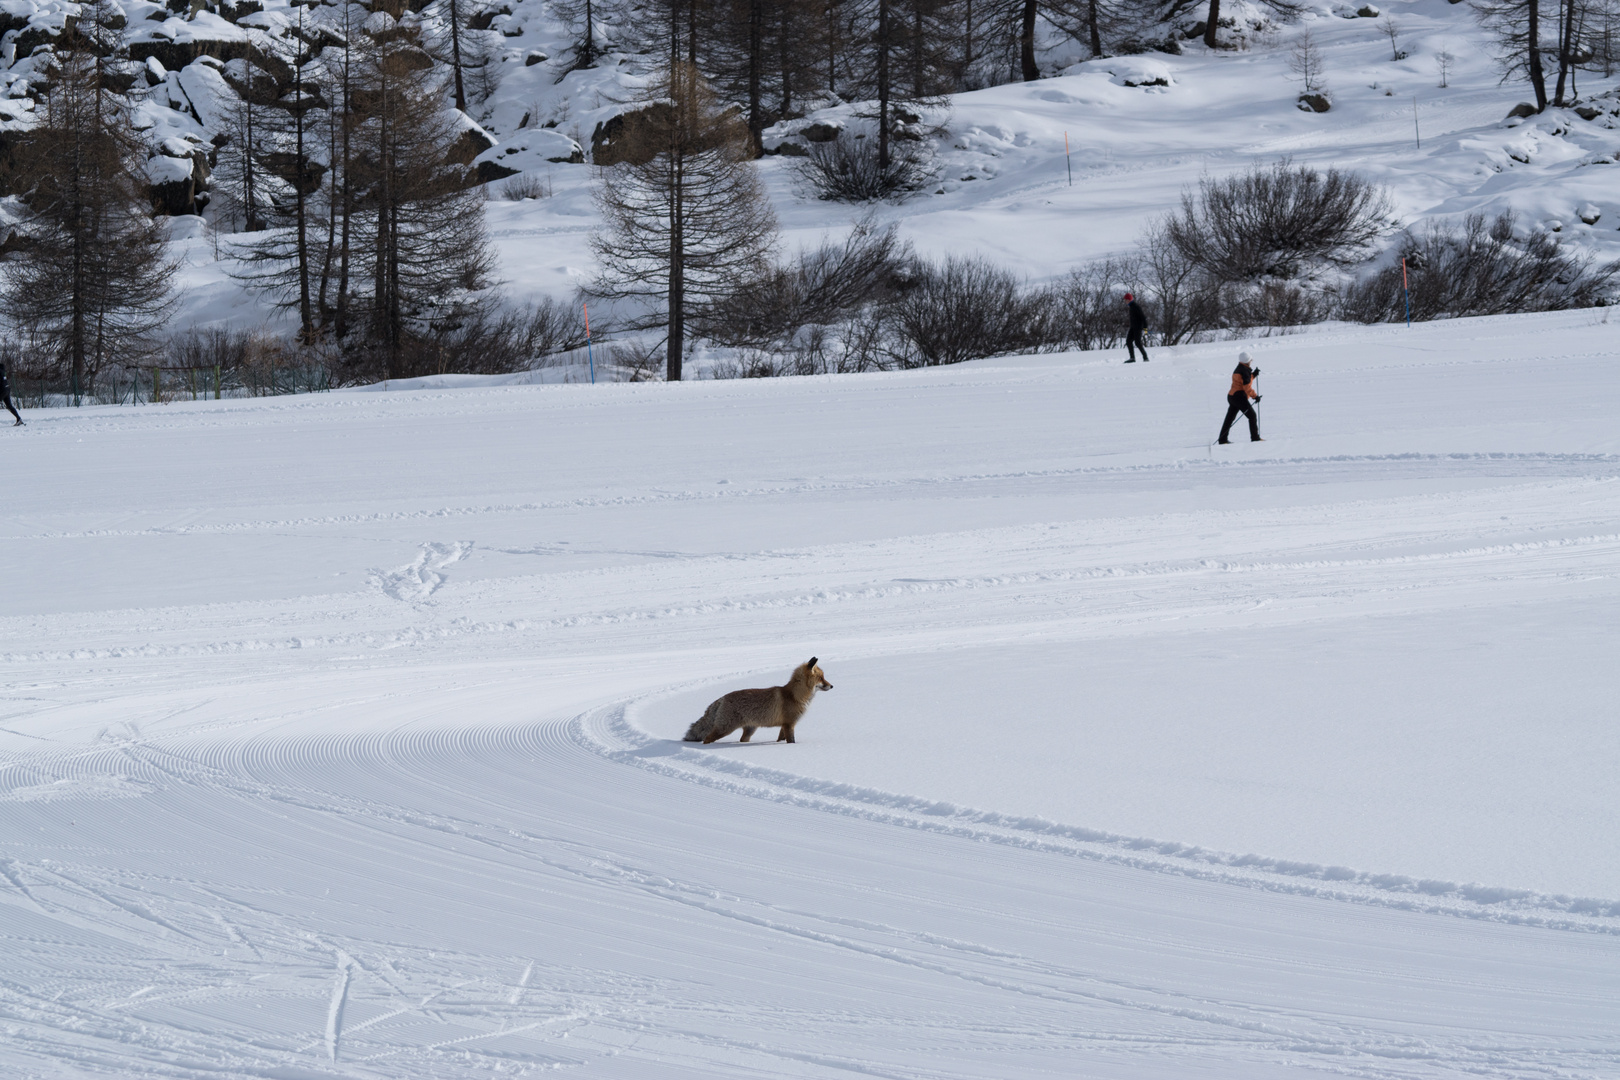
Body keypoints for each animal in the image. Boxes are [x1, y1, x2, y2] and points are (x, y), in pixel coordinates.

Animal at [683, 660, 835, 744]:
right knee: (707, 739)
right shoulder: (789, 724)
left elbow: (780, 740)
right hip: (725, 729)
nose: (832, 686)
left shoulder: (784, 725)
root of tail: (721, 699)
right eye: (821, 678)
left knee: (742, 740)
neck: (794, 695)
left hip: (750, 730)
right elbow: (791, 741)